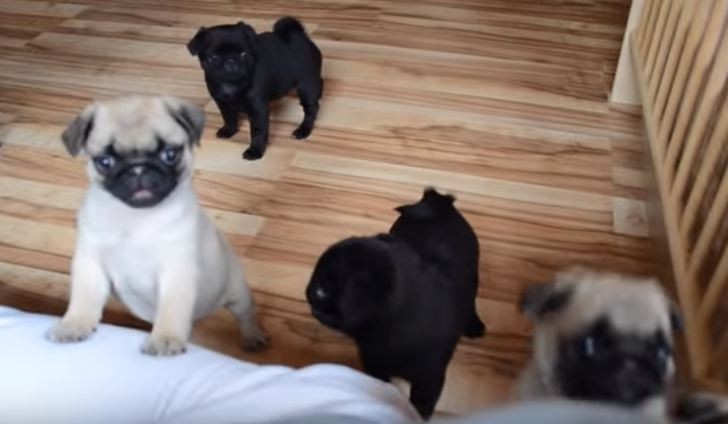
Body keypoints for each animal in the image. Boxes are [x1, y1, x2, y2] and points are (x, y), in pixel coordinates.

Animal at [49, 95, 270, 354]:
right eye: (105, 161)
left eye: (170, 154)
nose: (138, 169)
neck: (135, 218)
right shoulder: (90, 263)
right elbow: (84, 295)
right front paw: (74, 324)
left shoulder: (176, 270)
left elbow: (172, 307)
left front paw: (166, 338)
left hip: (236, 291)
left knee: (245, 314)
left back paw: (252, 337)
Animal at [188, 17, 322, 161]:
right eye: (213, 57)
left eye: (244, 54)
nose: (230, 61)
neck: (231, 85)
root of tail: (300, 36)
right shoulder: (223, 104)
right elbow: (229, 118)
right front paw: (229, 131)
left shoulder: (258, 110)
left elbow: (258, 131)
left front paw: (255, 151)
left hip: (306, 86)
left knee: (311, 109)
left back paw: (303, 130)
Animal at [304, 188, 486, 418]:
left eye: (321, 290)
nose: (308, 292)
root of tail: (436, 201)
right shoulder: (374, 366)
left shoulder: (429, 380)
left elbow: (420, 406)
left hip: (473, 276)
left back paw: (474, 325)